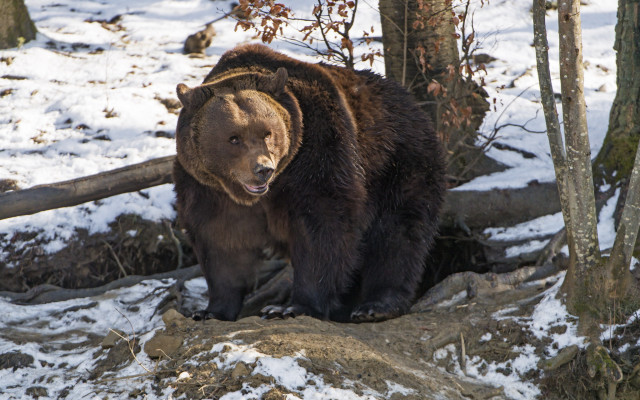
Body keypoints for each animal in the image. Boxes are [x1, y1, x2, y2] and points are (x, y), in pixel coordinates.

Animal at [173, 44, 446, 322]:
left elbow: (322, 223)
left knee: (397, 232)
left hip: (397, 162)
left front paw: (290, 307)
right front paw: (210, 311)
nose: (263, 170)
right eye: (234, 138)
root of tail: (412, 102)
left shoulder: (318, 150)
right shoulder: (206, 185)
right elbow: (221, 240)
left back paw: (375, 306)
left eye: (267, 132)